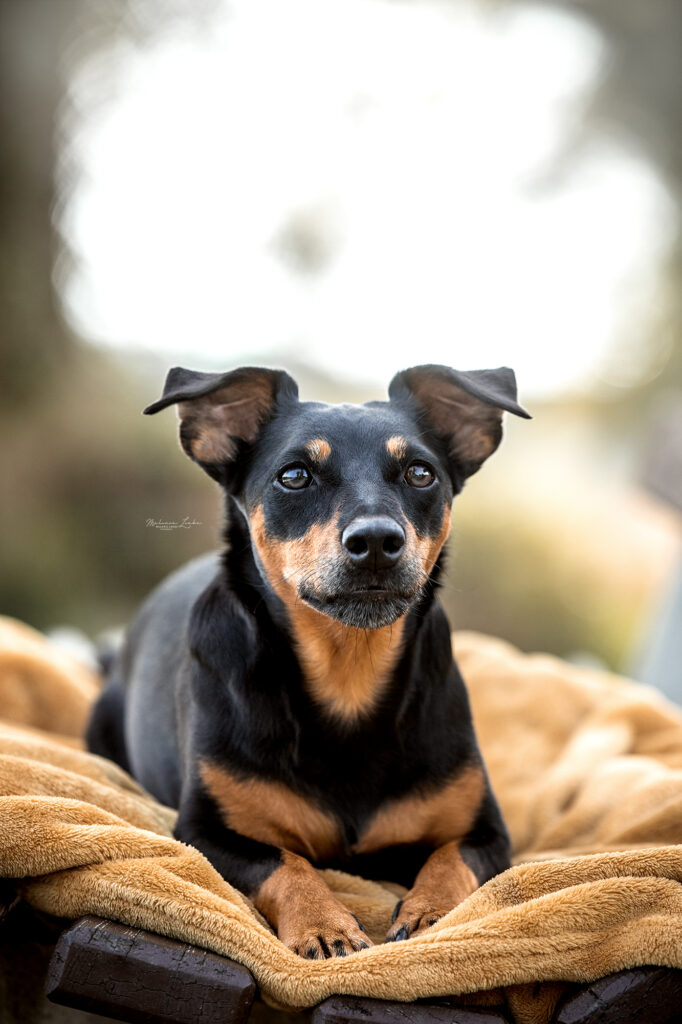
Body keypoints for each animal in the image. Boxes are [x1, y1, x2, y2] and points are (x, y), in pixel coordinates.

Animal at [87, 362, 530, 958]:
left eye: (420, 473)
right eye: (294, 476)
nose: (376, 540)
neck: (348, 677)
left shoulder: (486, 832)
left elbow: (448, 860)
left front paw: (431, 914)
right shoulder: (205, 833)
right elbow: (286, 862)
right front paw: (324, 924)